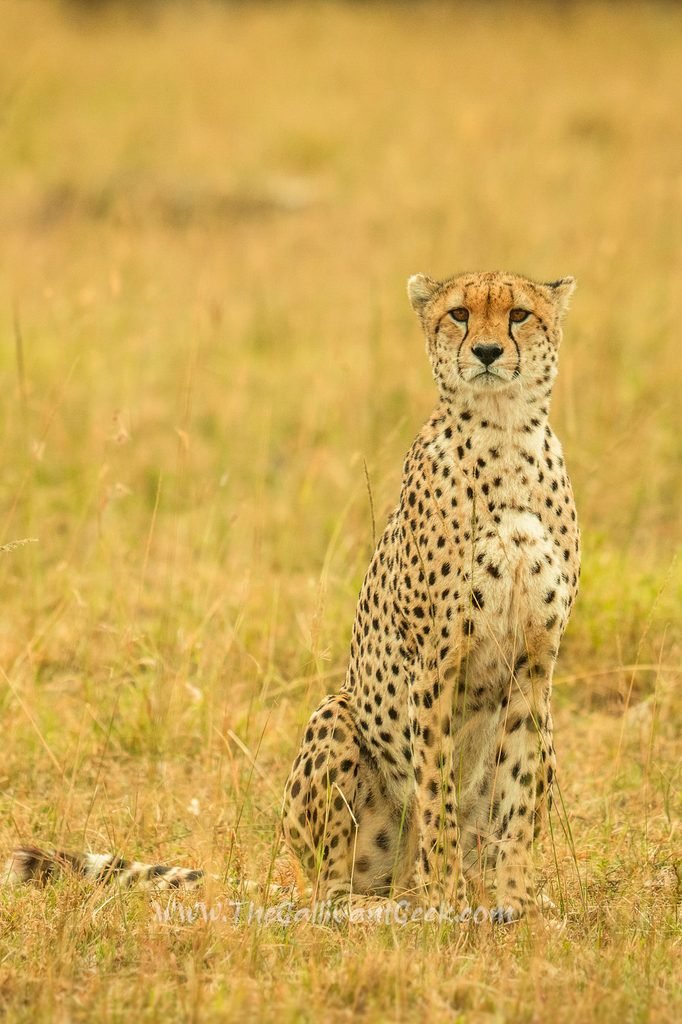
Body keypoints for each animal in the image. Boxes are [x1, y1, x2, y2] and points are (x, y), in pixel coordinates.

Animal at [280, 270, 580, 920]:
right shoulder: (435, 664)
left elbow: (516, 803)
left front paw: (515, 903)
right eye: (459, 314)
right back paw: (384, 905)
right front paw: (447, 905)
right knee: (335, 888)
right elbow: (436, 790)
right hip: (337, 714)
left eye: (519, 315)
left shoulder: (535, 665)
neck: (505, 433)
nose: (487, 352)